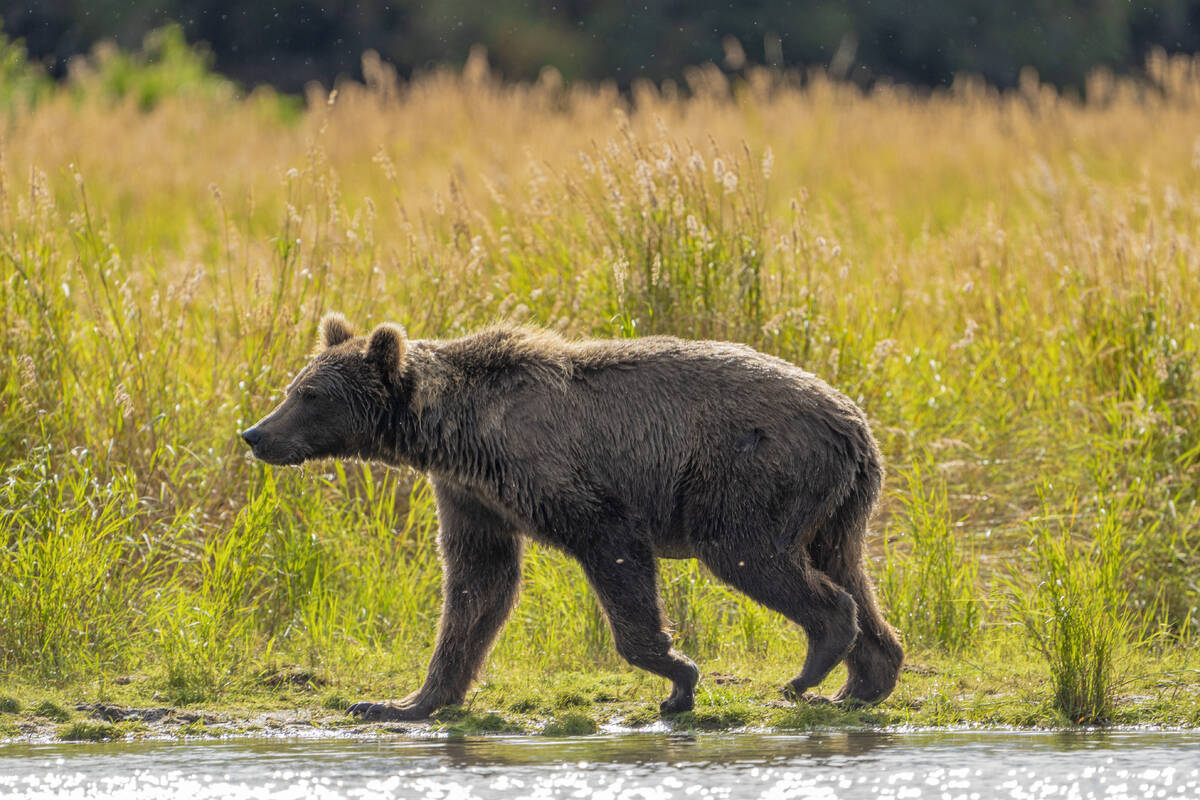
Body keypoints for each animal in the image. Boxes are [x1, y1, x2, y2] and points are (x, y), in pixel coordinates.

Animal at [241, 311, 902, 719]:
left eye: (309, 395)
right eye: (295, 385)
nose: (255, 434)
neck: (456, 433)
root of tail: (854, 422)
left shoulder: (563, 478)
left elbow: (613, 553)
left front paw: (677, 679)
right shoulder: (472, 495)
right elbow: (477, 585)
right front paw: (401, 701)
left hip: (751, 473)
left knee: (753, 555)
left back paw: (809, 670)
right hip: (839, 503)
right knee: (848, 570)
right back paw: (863, 681)